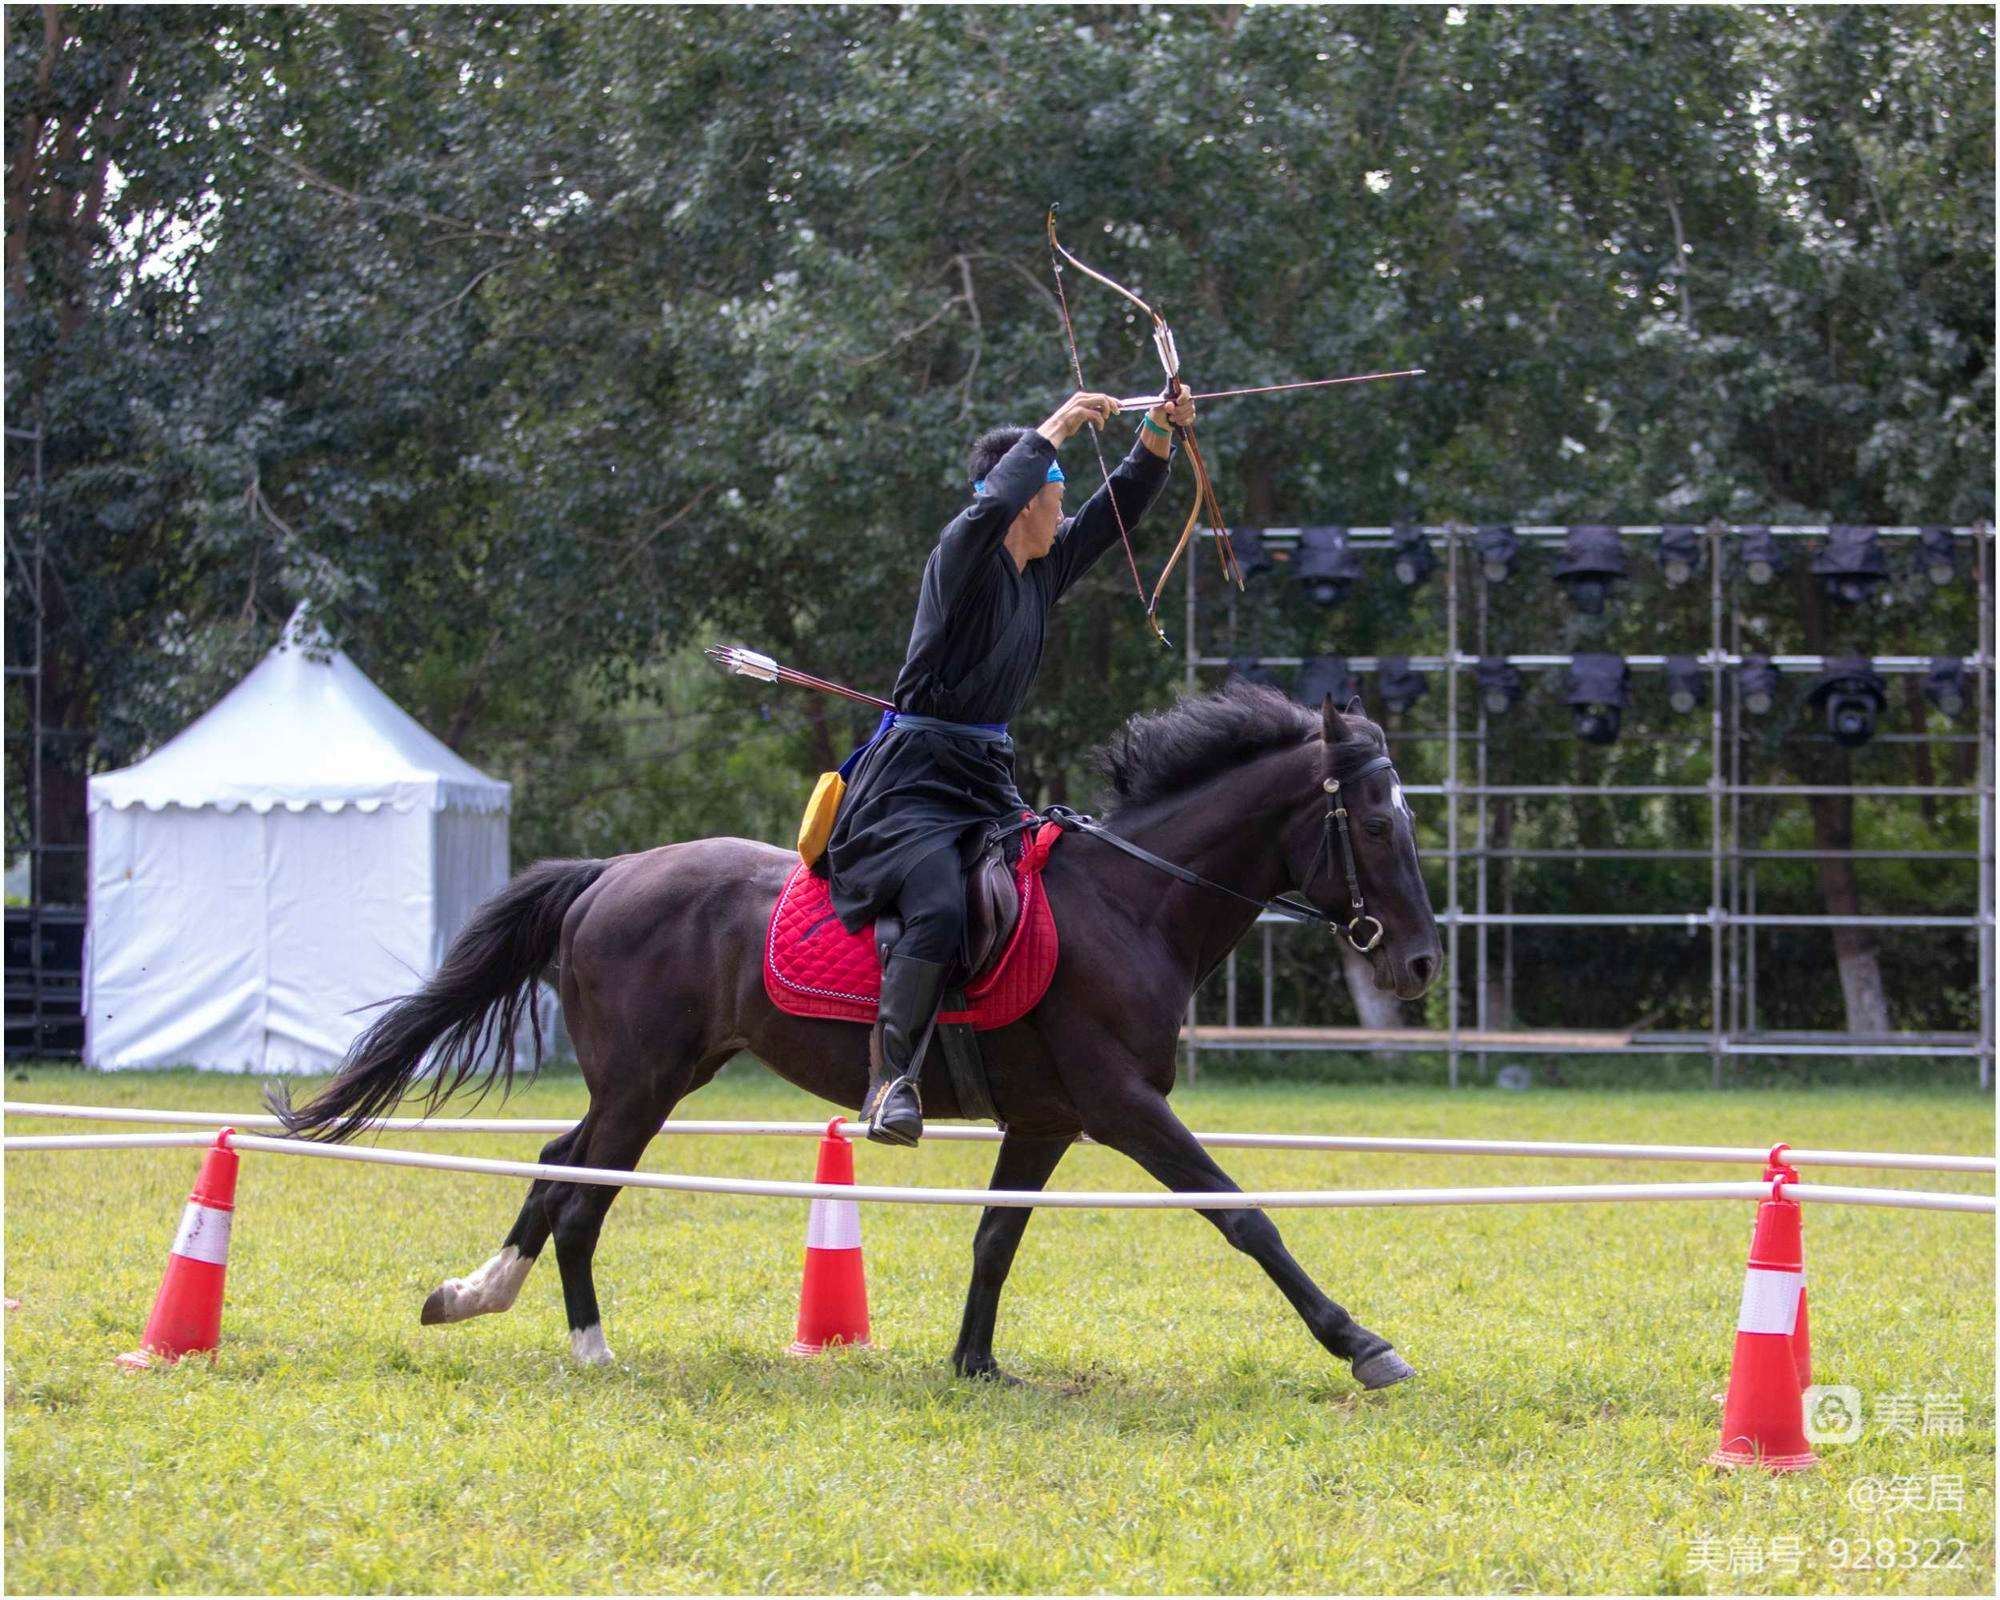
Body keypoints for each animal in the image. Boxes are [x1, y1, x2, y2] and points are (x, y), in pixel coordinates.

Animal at [278, 684, 1440, 1384]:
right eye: (1380, 823)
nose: (1421, 964)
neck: (1132, 900)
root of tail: (610, 874)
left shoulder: (1050, 1118)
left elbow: (995, 1238)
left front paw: (974, 1365)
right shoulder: (1122, 1107)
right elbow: (1242, 1215)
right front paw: (1362, 1343)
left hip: (660, 1075)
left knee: (561, 1159)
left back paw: (475, 1293)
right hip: (643, 1082)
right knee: (581, 1191)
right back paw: (590, 1346)